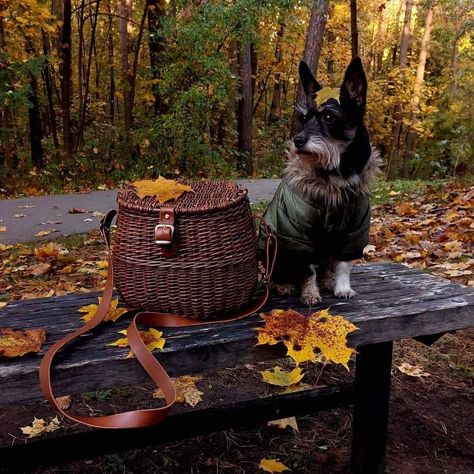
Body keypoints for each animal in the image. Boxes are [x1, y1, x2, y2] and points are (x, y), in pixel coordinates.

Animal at [258, 57, 380, 306]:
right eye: (304, 118)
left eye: (329, 117)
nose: (297, 141)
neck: (336, 176)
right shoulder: (300, 237)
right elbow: (307, 270)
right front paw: (310, 293)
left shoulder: (353, 231)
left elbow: (343, 265)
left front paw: (342, 287)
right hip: (274, 244)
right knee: (282, 271)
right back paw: (284, 284)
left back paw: (327, 281)